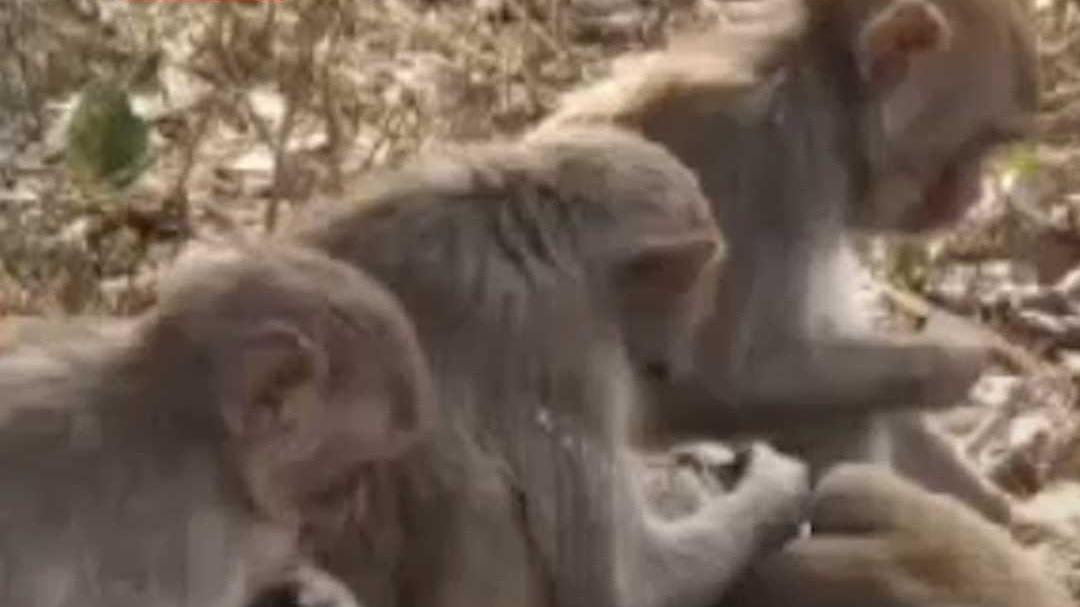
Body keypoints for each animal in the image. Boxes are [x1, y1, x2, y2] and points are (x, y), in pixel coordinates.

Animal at [533, 0, 1038, 523]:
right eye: (981, 145)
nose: (974, 198)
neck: (827, 102)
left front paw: (1006, 517)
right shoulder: (763, 165)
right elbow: (724, 380)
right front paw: (956, 363)